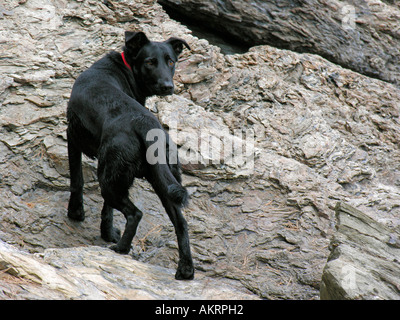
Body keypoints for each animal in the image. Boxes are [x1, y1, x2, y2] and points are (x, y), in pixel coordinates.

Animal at [66, 31, 195, 278]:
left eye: (170, 62)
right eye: (150, 62)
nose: (168, 86)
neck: (123, 67)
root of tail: (146, 125)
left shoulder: (72, 136)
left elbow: (76, 180)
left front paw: (76, 213)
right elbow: (107, 210)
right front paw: (107, 233)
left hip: (109, 179)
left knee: (135, 214)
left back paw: (121, 248)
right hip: (164, 183)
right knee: (181, 223)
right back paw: (185, 270)